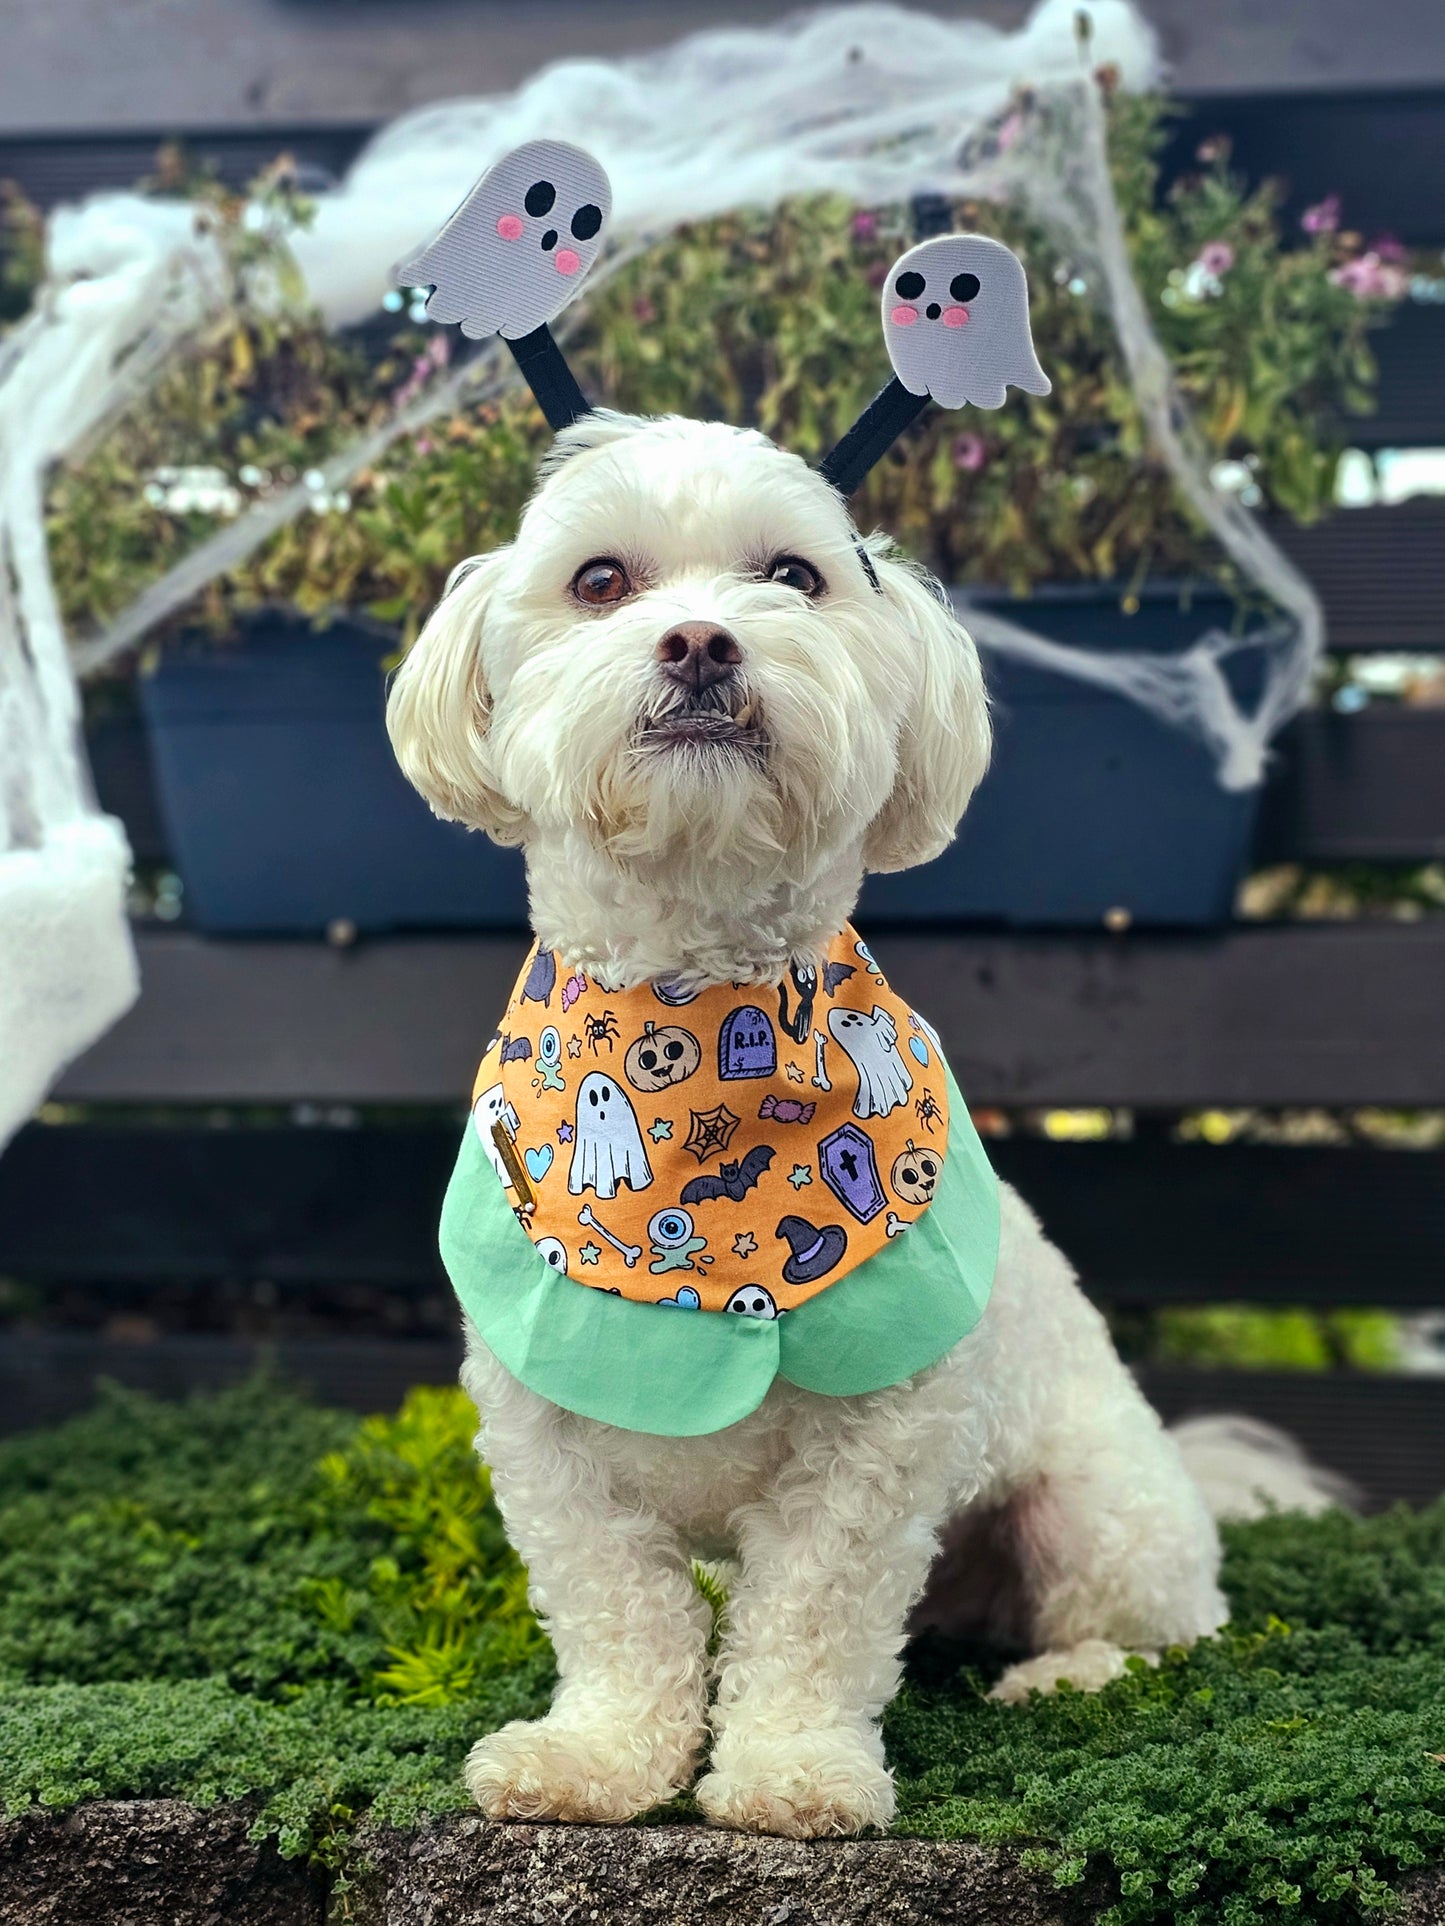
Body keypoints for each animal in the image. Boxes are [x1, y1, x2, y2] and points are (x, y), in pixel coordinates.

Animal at [387, 417, 1333, 1833]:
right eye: (600, 581)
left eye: (793, 575)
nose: (702, 642)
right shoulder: (546, 1438)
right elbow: (623, 1615)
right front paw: (597, 1758)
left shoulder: (875, 1446)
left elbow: (811, 1618)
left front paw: (788, 1771)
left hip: (1093, 1508)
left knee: (1164, 1632)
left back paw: (1064, 1677)